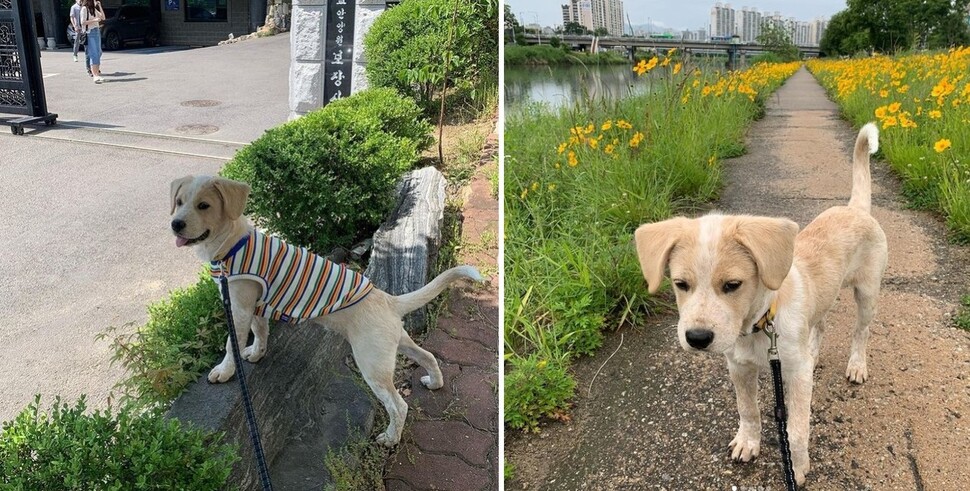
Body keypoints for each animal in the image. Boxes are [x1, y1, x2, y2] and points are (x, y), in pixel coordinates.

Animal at [171, 175, 484, 448]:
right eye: (179, 201)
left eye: (204, 205)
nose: (175, 224)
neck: (232, 244)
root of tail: (387, 299)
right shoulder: (256, 304)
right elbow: (260, 331)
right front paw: (257, 354)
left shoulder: (238, 308)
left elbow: (230, 343)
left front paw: (224, 371)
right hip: (394, 344)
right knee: (428, 356)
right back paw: (435, 382)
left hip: (371, 362)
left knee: (399, 405)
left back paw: (390, 438)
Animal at [632, 124, 888, 484]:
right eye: (680, 284)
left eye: (732, 285)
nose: (697, 339)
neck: (760, 322)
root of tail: (855, 209)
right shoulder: (739, 367)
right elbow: (748, 409)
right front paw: (748, 442)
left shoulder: (796, 376)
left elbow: (796, 429)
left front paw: (797, 467)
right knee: (820, 323)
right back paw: (815, 352)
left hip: (867, 293)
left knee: (861, 332)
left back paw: (857, 365)